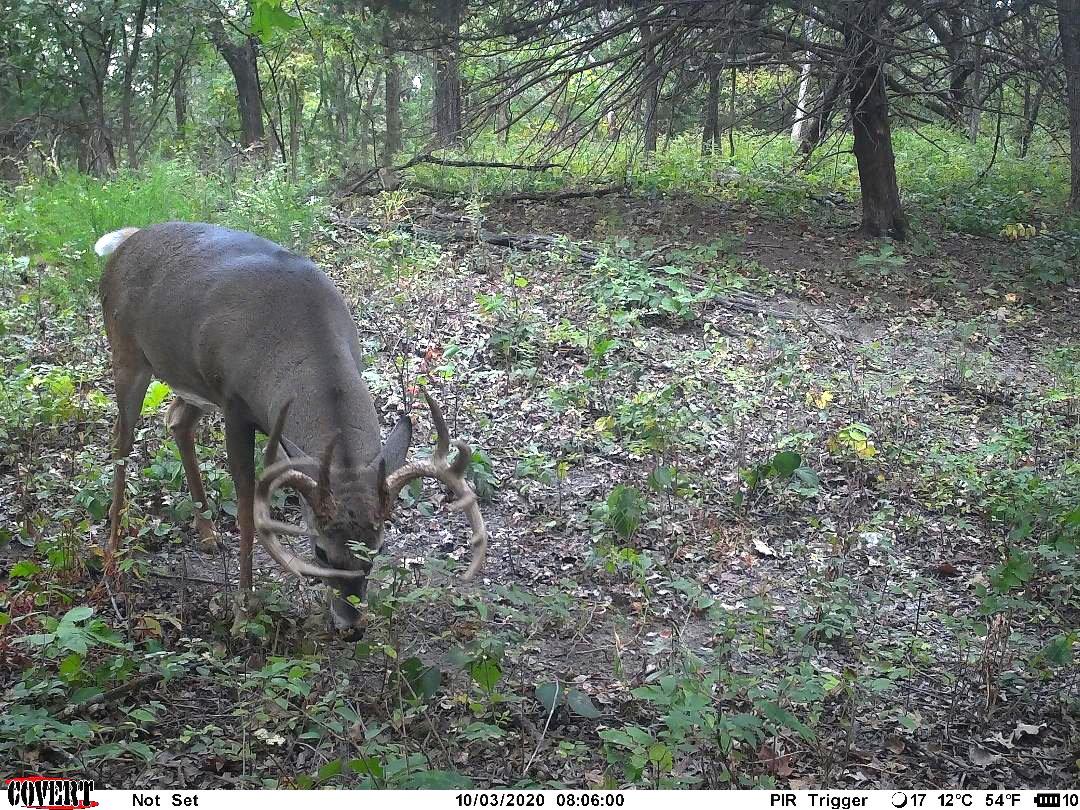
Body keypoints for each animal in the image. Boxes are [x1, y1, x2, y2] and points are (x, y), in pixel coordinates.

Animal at [95, 222, 487, 635]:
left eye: (377, 549)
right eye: (319, 550)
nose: (351, 626)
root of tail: (127, 241)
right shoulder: (234, 404)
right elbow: (248, 510)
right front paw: (243, 613)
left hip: (189, 379)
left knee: (176, 420)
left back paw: (207, 535)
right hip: (126, 352)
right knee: (121, 441)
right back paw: (111, 554)